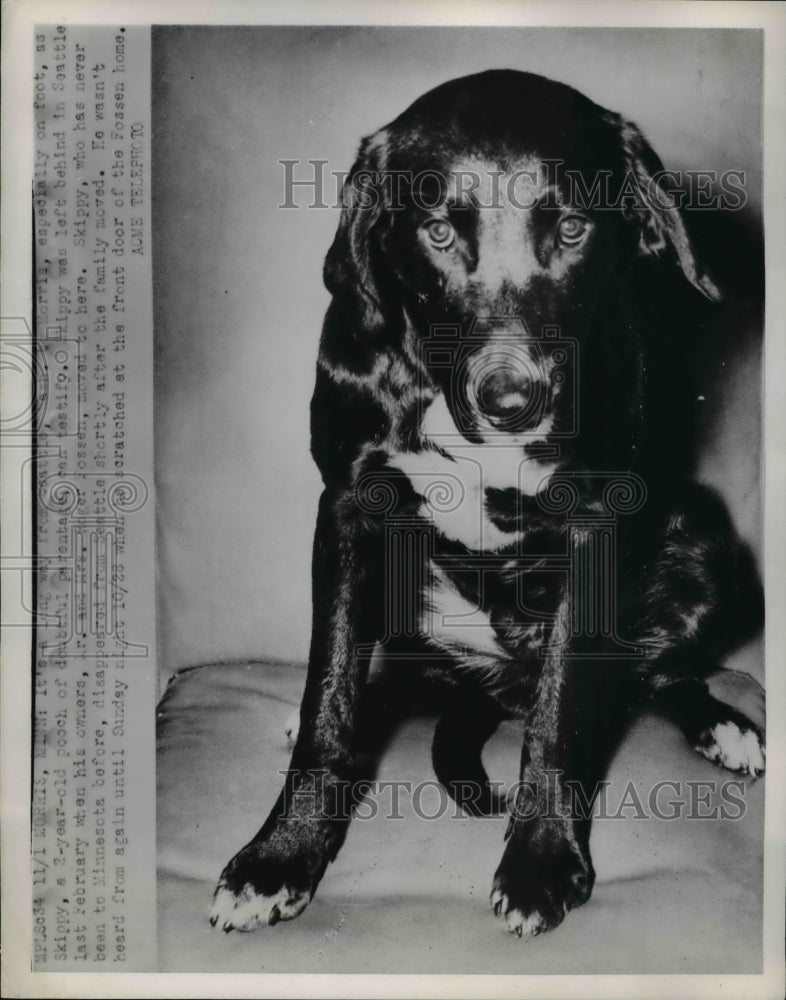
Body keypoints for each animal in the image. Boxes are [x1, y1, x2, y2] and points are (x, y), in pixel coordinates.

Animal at [208, 68, 760, 936]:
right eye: (437, 232)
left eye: (572, 228)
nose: (512, 400)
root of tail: (497, 685)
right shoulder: (346, 510)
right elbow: (328, 696)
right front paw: (281, 854)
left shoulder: (594, 525)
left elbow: (561, 715)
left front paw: (542, 857)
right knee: (397, 675)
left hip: (701, 536)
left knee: (651, 674)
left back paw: (723, 725)